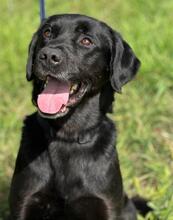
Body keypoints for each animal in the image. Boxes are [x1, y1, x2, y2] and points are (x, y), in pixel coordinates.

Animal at [8, 14, 143, 219]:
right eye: (47, 33)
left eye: (86, 41)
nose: (48, 56)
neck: (67, 135)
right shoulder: (24, 203)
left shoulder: (105, 205)